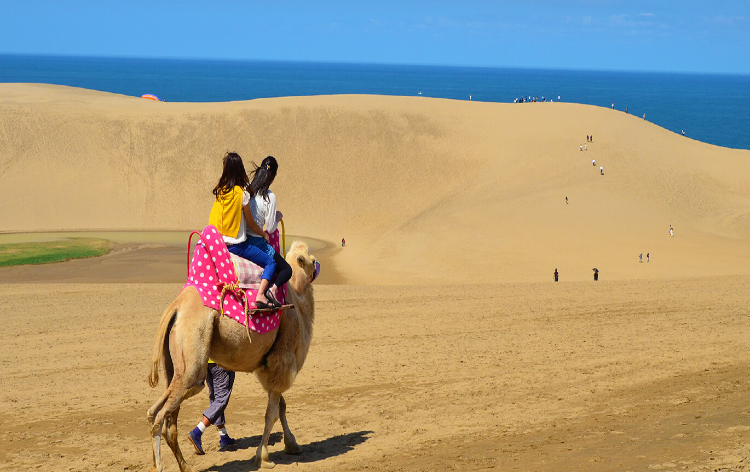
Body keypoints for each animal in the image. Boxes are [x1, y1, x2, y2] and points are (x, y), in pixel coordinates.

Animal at [148, 242, 318, 470]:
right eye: (310, 259)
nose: (317, 264)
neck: (296, 297)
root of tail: (176, 307)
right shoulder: (282, 360)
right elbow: (272, 413)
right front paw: (264, 457)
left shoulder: (271, 368)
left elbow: (281, 407)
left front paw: (292, 445)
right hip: (192, 361)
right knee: (161, 417)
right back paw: (162, 466)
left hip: (174, 366)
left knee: (158, 415)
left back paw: (184, 465)